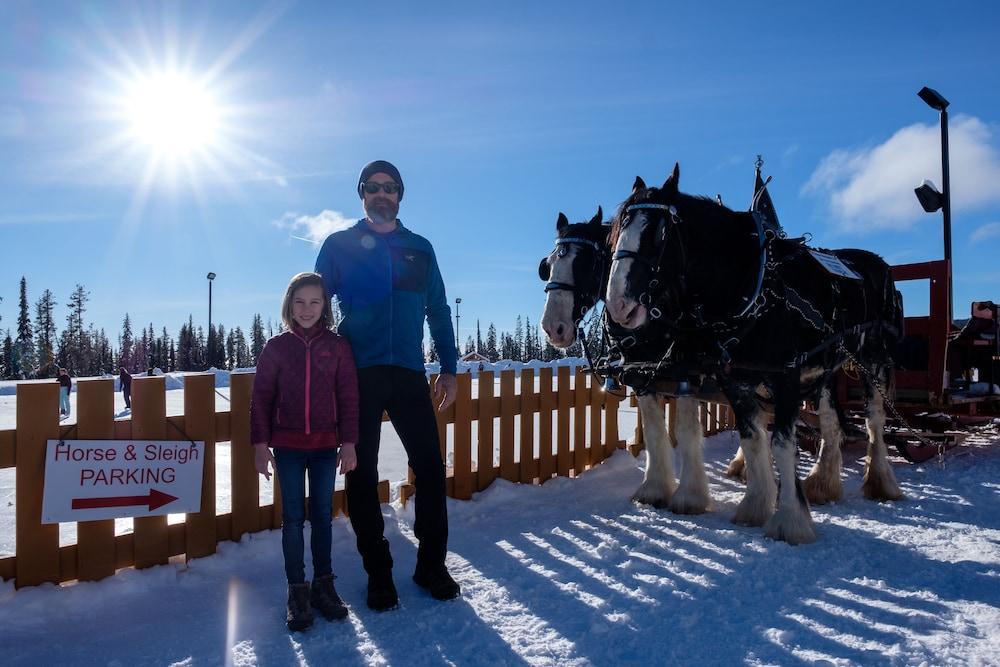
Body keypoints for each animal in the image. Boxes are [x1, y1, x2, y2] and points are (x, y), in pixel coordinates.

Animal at [604, 164, 904, 544]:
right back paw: (823, 483)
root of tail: (879, 265)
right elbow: (752, 439)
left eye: (659, 234)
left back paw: (881, 482)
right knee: (832, 423)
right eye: (615, 235)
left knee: (874, 420)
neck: (751, 288)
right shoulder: (734, 380)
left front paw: (789, 520)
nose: (618, 306)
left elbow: (781, 444)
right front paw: (756, 505)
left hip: (874, 361)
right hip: (824, 367)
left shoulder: (786, 375)